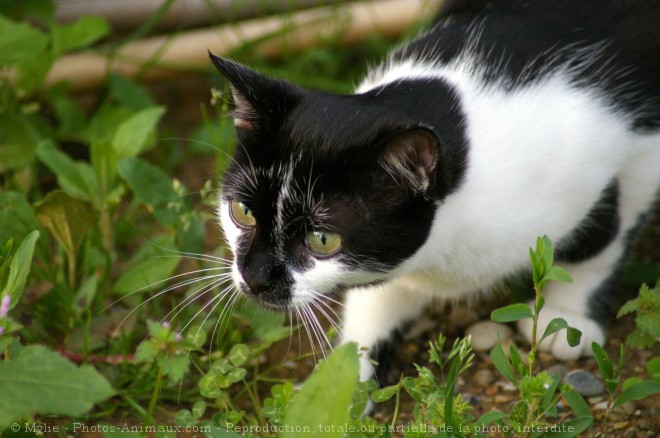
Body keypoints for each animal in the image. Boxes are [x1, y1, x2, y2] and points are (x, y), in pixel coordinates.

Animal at [210, 0, 660, 384]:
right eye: (242, 212)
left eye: (322, 239)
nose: (255, 277)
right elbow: (381, 298)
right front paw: (347, 381)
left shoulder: (624, 151)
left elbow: (602, 241)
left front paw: (568, 318)